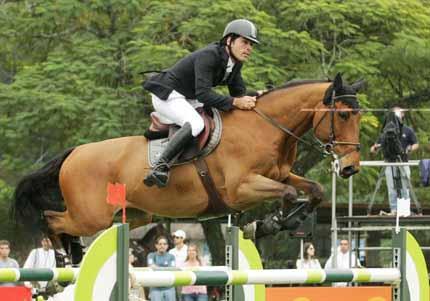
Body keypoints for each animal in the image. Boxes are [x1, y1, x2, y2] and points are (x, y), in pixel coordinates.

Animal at [10, 74, 362, 255]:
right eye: (344, 115)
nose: (350, 169)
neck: (265, 127)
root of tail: (73, 153)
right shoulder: (240, 189)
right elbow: (288, 194)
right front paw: (266, 224)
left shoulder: (281, 174)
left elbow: (314, 190)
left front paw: (275, 223)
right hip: (89, 215)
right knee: (53, 220)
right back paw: (62, 257)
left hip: (132, 215)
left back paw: (72, 255)